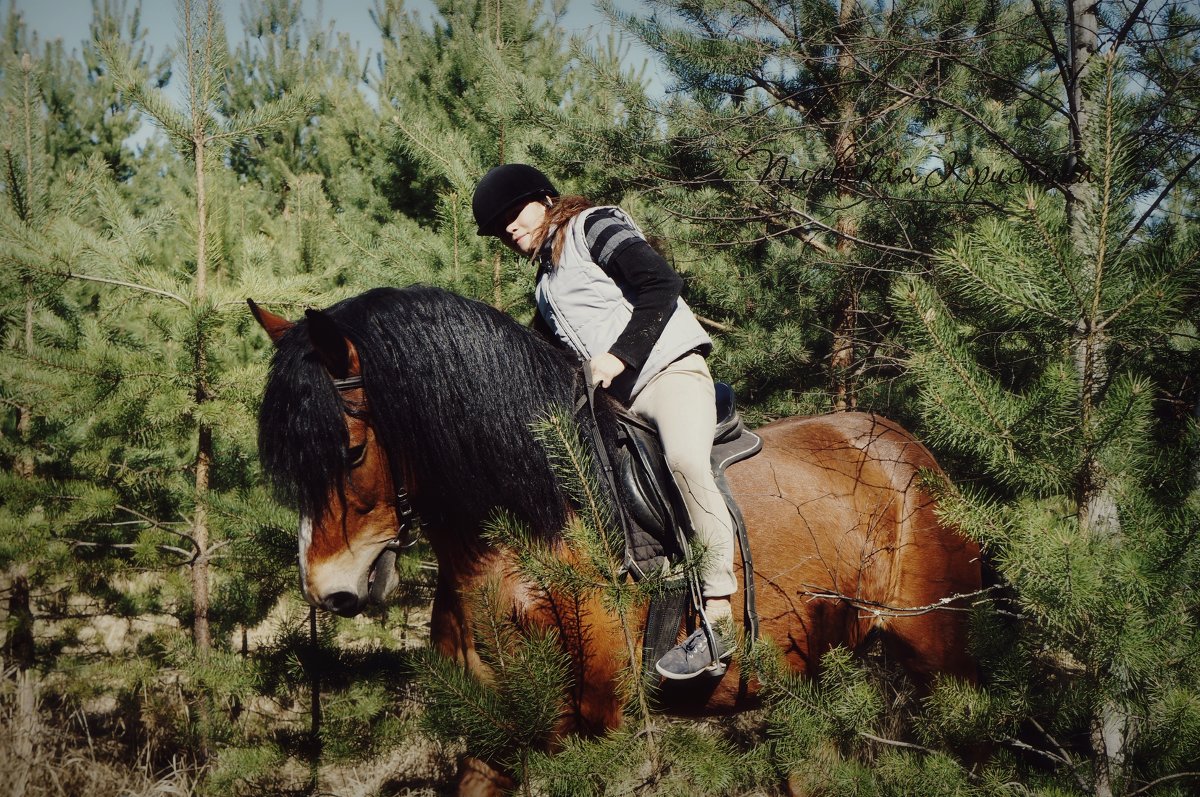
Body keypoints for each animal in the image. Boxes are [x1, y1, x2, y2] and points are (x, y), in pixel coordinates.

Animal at [248, 284, 979, 792]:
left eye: (349, 451)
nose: (328, 589)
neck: (528, 533)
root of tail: (909, 448)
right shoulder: (498, 739)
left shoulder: (597, 729)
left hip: (939, 654)